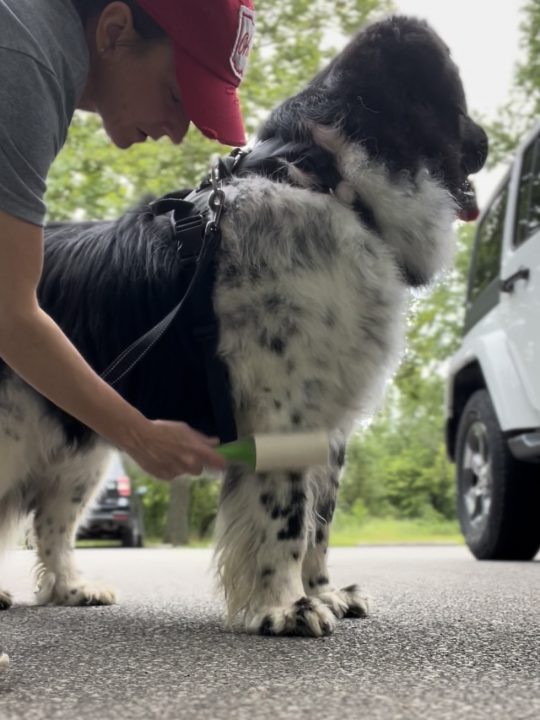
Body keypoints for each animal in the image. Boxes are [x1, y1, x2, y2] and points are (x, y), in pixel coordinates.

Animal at [0, 15, 488, 636]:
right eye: (456, 98)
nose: (486, 143)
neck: (327, 180)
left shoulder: (329, 418)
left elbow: (320, 522)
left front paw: (323, 593)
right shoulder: (284, 410)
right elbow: (287, 515)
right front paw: (284, 606)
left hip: (84, 441)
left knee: (52, 522)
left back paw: (71, 588)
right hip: (19, 429)